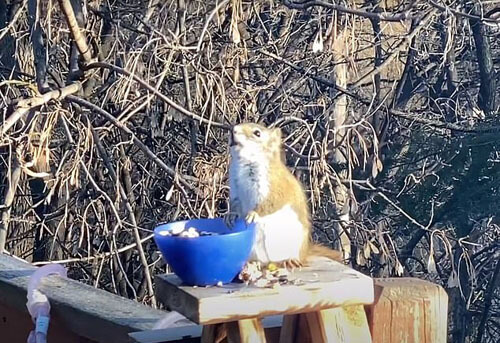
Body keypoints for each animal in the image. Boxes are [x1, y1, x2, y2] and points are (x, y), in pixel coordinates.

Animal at [226, 122, 340, 270]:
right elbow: (235, 203)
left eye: (257, 133)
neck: (244, 163)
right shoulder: (235, 187)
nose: (232, 130)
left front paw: (253, 214)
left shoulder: (275, 185)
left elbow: (271, 202)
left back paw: (289, 261)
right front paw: (230, 215)